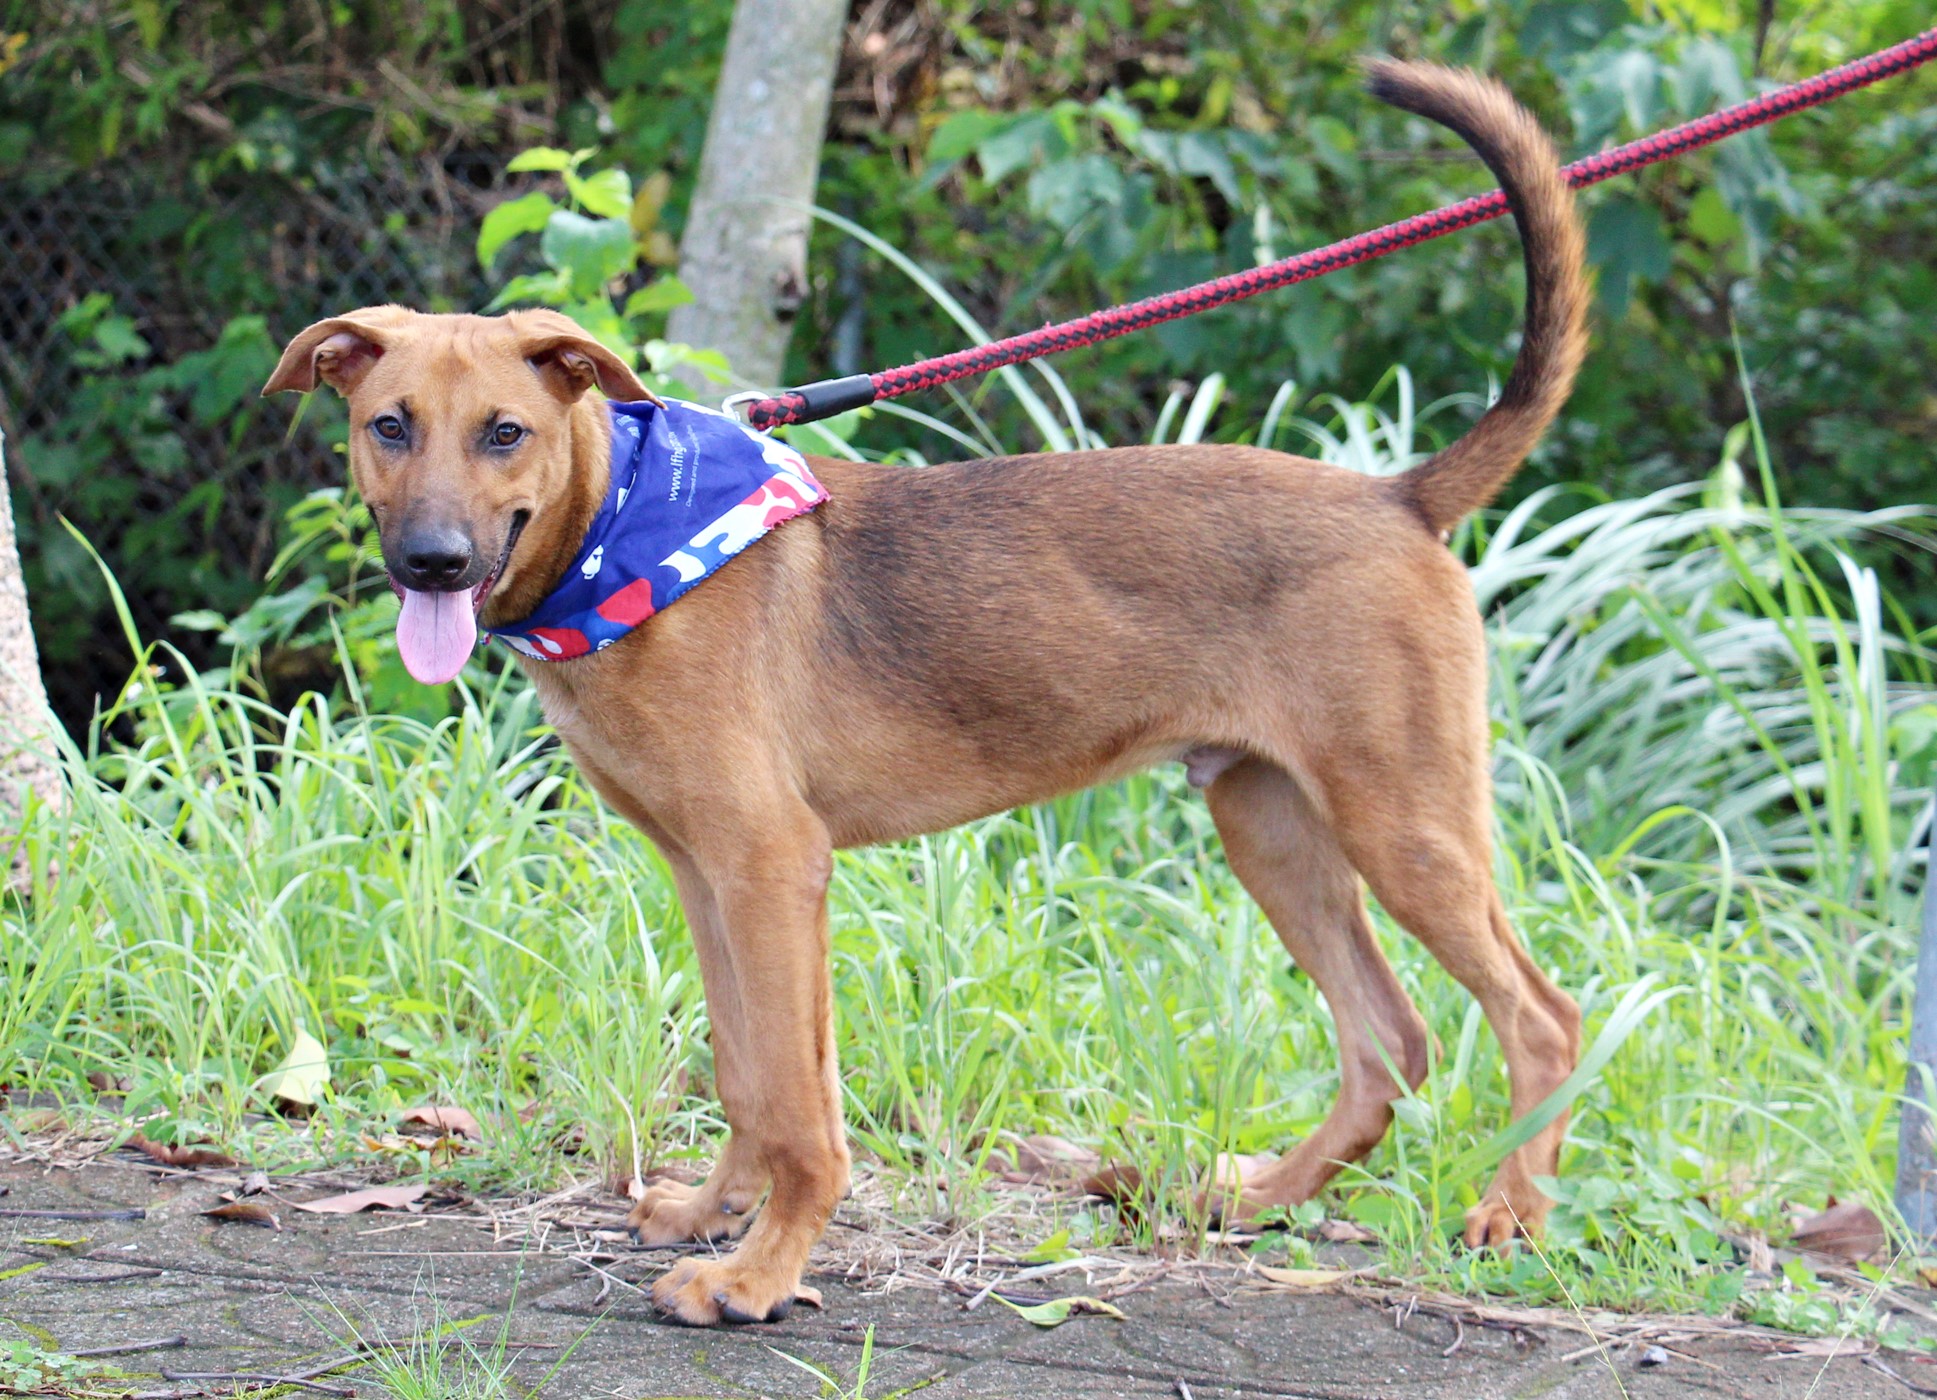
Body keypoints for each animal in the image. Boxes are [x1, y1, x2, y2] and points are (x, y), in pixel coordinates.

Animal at [261, 57, 1588, 1324]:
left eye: (503, 432)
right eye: (389, 426)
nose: (430, 563)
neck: (622, 531)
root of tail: (1396, 497)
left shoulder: (770, 863)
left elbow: (797, 1106)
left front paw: (757, 1275)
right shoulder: (708, 872)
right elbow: (751, 1073)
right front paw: (711, 1212)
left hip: (1401, 823)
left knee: (1539, 1016)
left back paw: (1508, 1211)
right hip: (1270, 824)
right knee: (1389, 1042)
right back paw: (1256, 1192)